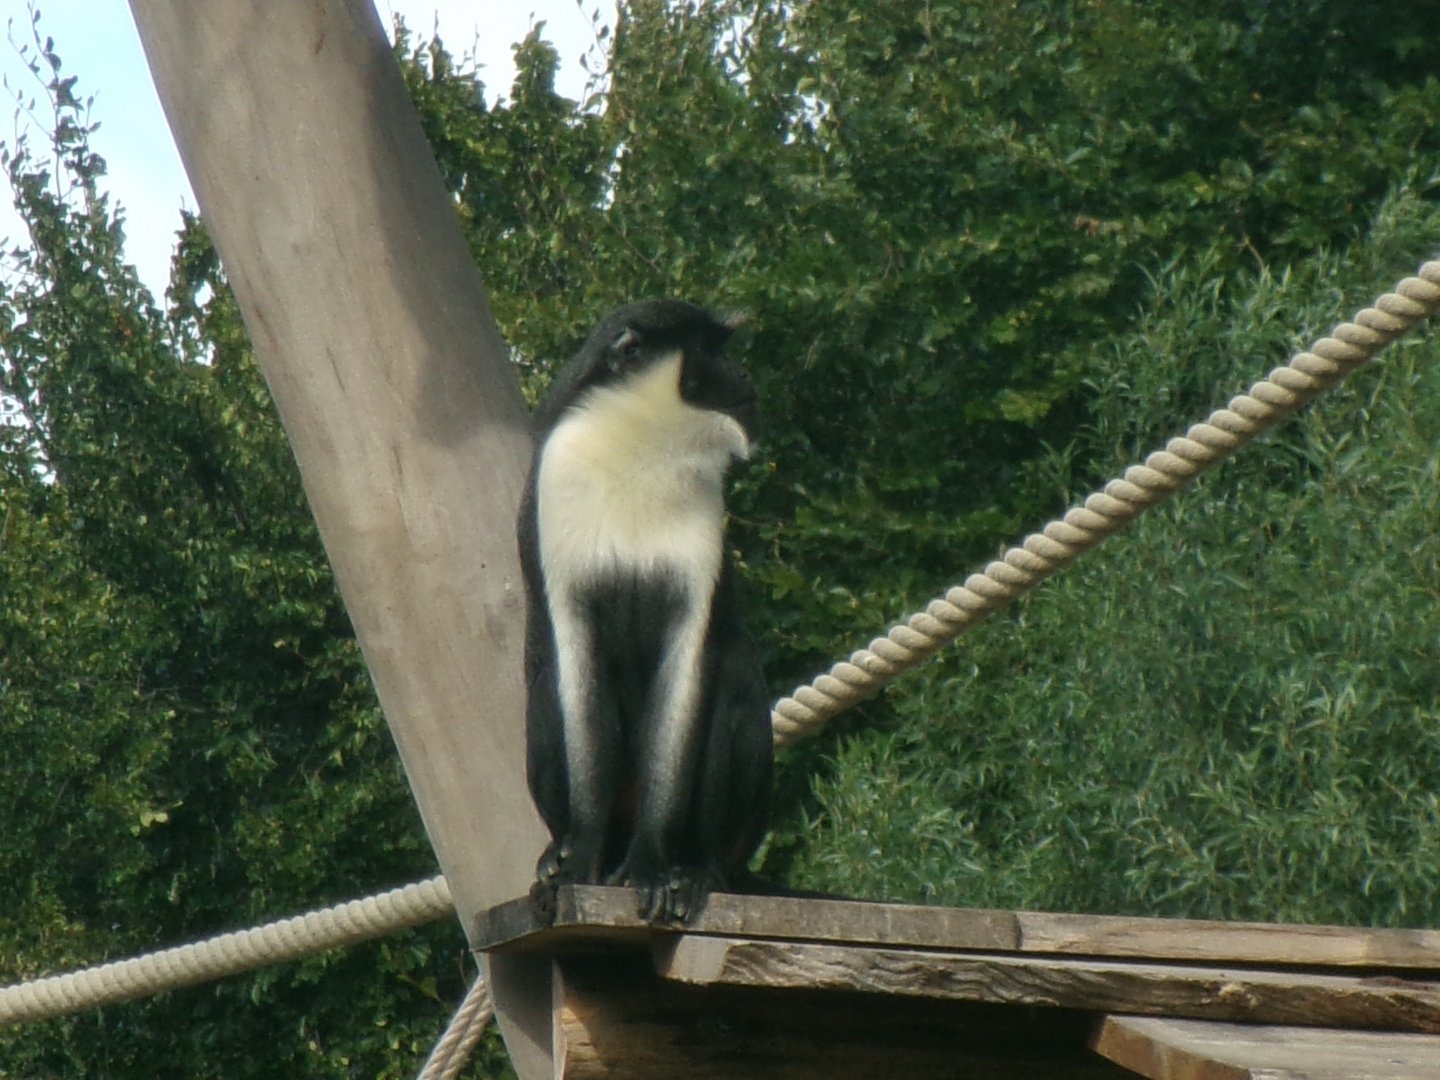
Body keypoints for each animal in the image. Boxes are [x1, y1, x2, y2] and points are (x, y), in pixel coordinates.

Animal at [518, 299, 772, 925]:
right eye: (709, 352)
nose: (744, 376)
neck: (637, 448)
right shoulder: (558, 490)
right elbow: (573, 661)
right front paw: (581, 858)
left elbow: (688, 665)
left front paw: (652, 867)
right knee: (543, 689)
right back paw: (561, 854)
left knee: (732, 674)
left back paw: (698, 867)